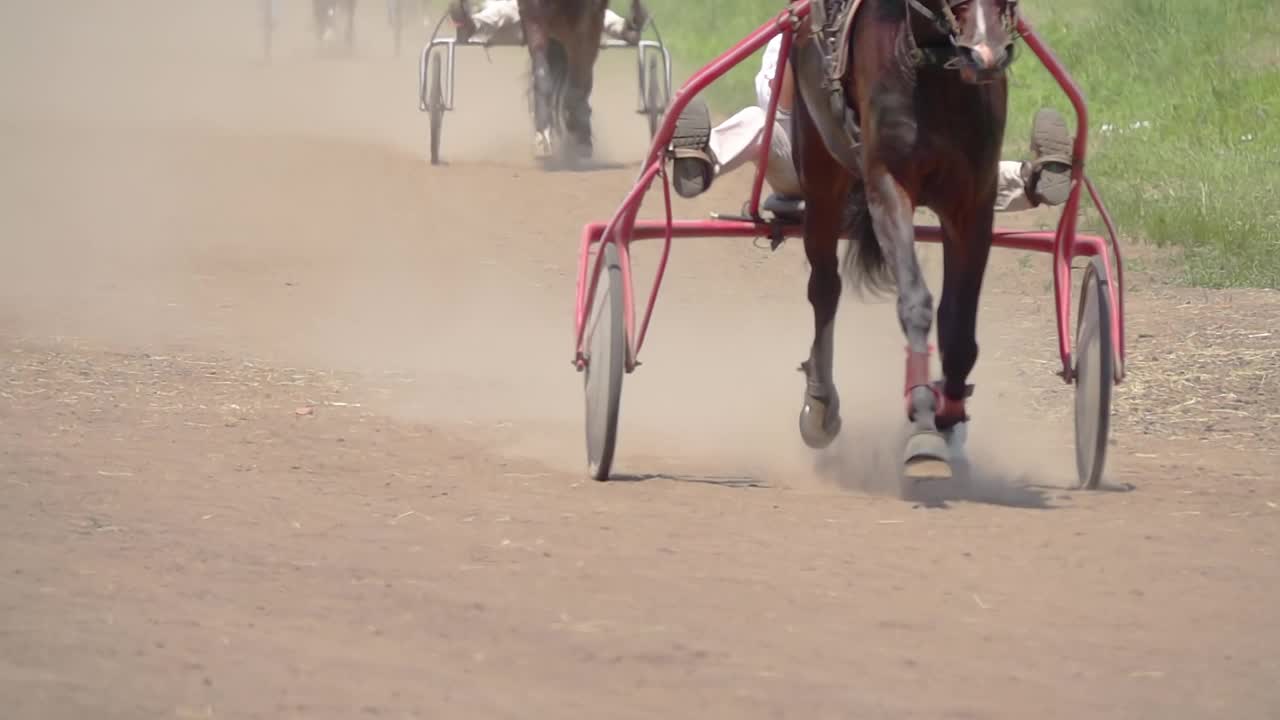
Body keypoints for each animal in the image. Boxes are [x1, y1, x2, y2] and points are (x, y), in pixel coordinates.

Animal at [788, 0, 1018, 476]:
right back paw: (820, 405)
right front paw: (924, 425)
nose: (986, 53)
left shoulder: (973, 203)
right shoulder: (887, 186)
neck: (933, 67)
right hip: (819, 177)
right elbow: (915, 302)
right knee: (825, 287)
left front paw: (948, 412)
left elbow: (958, 322)